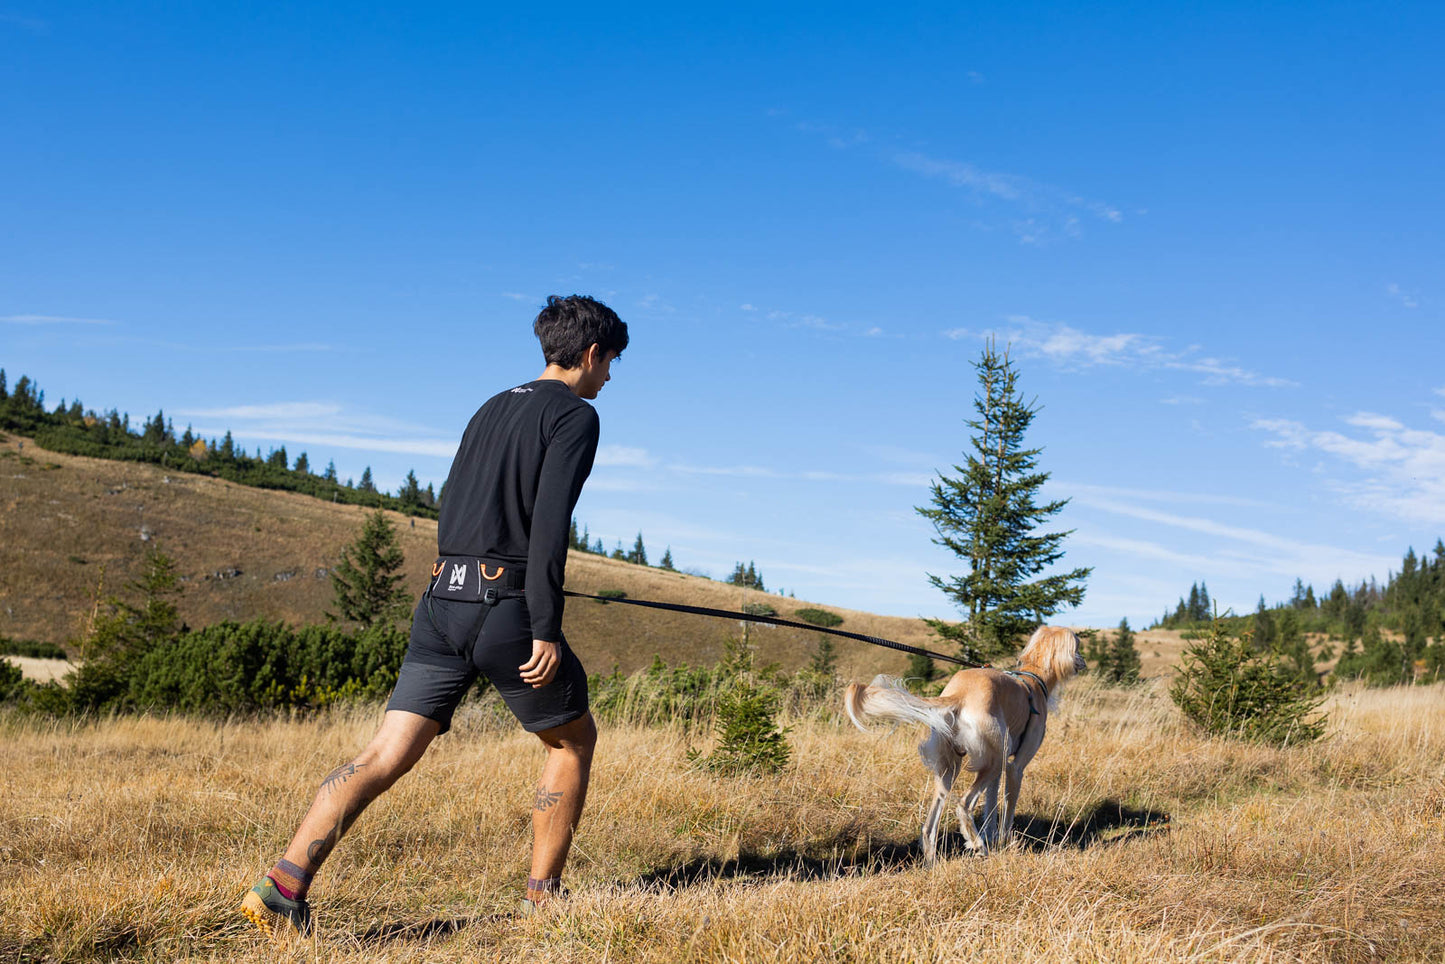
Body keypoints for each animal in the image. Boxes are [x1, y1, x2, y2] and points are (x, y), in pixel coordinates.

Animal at [843, 630, 1086, 861]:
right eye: (1077, 644)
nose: (1083, 662)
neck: (1033, 677)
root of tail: (959, 694)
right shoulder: (1015, 768)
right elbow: (1007, 811)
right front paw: (1007, 844)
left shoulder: (996, 774)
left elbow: (991, 808)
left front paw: (993, 839)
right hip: (995, 760)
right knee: (963, 804)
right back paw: (977, 845)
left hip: (951, 768)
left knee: (929, 828)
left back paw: (934, 863)